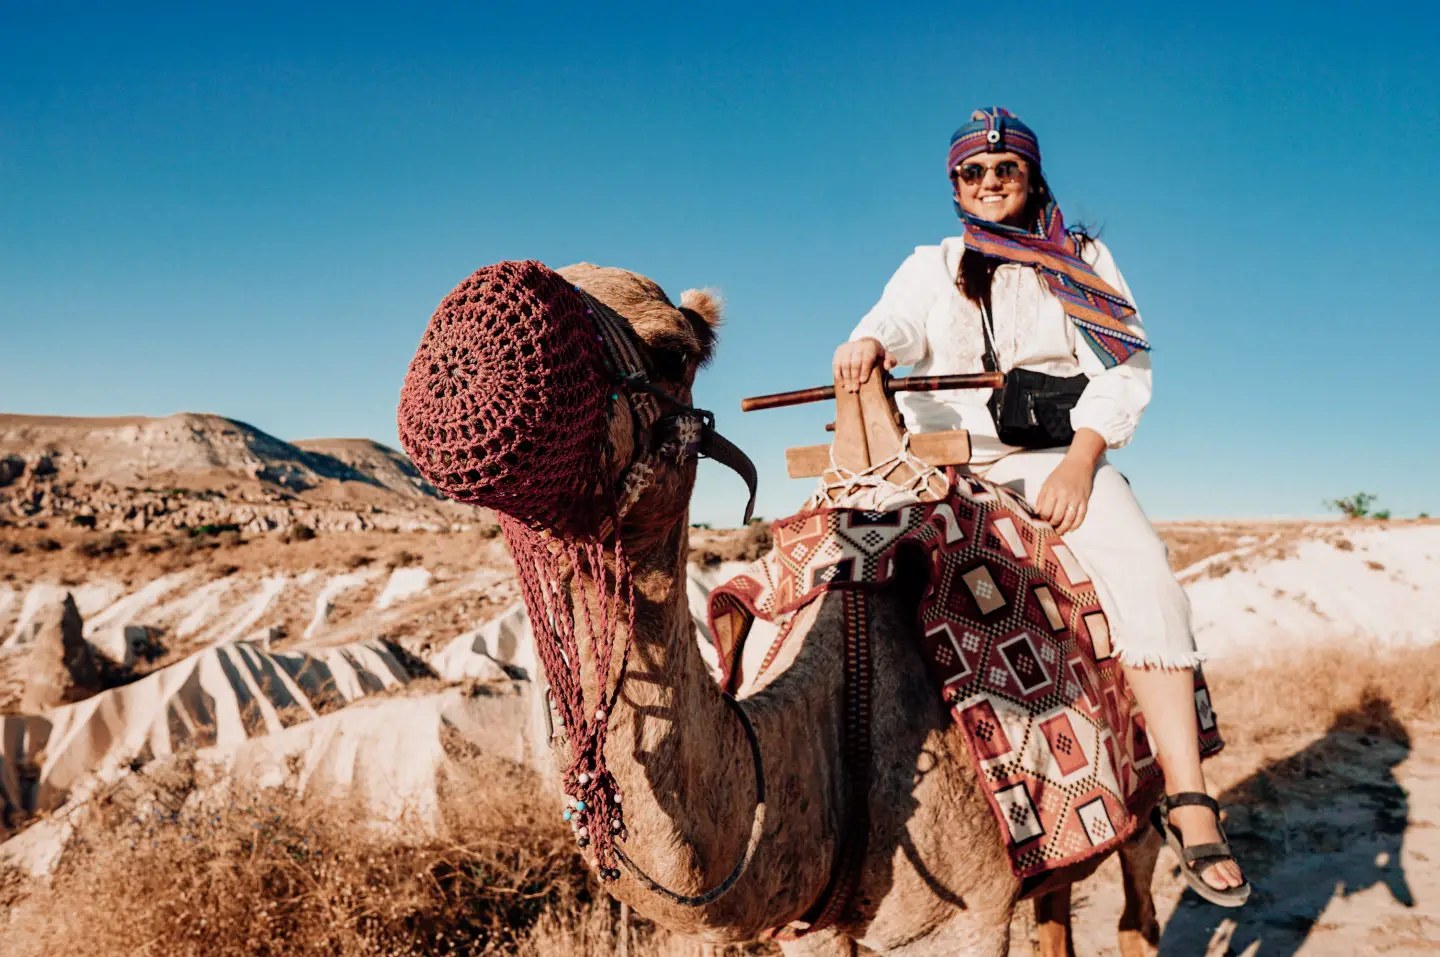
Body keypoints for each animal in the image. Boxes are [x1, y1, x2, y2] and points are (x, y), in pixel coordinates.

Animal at [400, 261, 1163, 955]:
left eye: (674, 353)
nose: (480, 336)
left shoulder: (966, 918)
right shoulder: (809, 931)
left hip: (1139, 797)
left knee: (1139, 901)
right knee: (1059, 905)